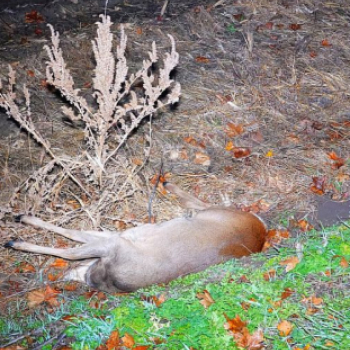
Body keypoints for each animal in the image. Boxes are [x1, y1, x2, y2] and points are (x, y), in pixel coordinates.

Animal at [4, 183, 266, 292]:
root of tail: (262, 231)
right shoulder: (121, 235)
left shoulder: (117, 241)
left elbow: (70, 239)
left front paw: (18, 233)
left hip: (217, 213)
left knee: (203, 203)